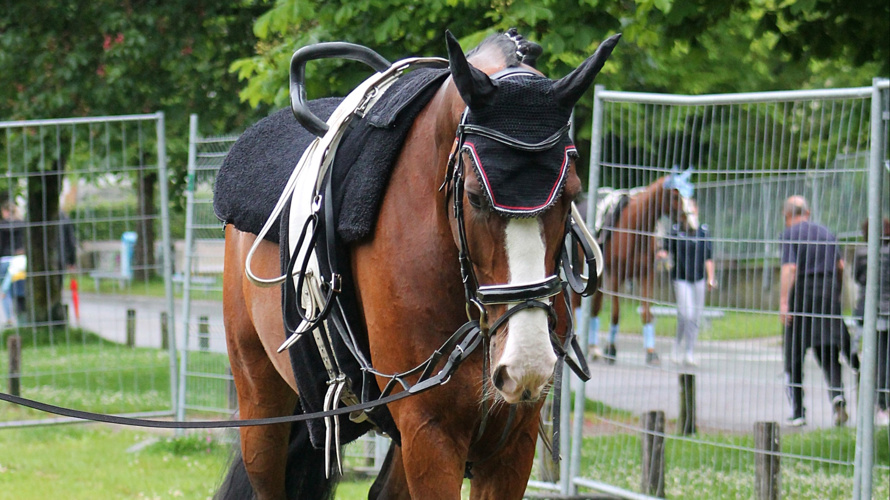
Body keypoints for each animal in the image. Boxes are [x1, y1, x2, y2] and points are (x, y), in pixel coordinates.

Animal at [215, 31, 616, 500]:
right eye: (474, 196)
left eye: (571, 193)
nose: (526, 360)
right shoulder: (430, 432)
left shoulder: (512, 439)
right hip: (261, 404)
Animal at [588, 174, 696, 366]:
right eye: (676, 196)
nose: (690, 225)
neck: (635, 229)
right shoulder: (615, 276)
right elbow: (615, 313)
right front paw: (611, 349)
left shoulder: (646, 275)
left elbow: (646, 313)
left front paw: (651, 352)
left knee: (595, 307)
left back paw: (593, 349)